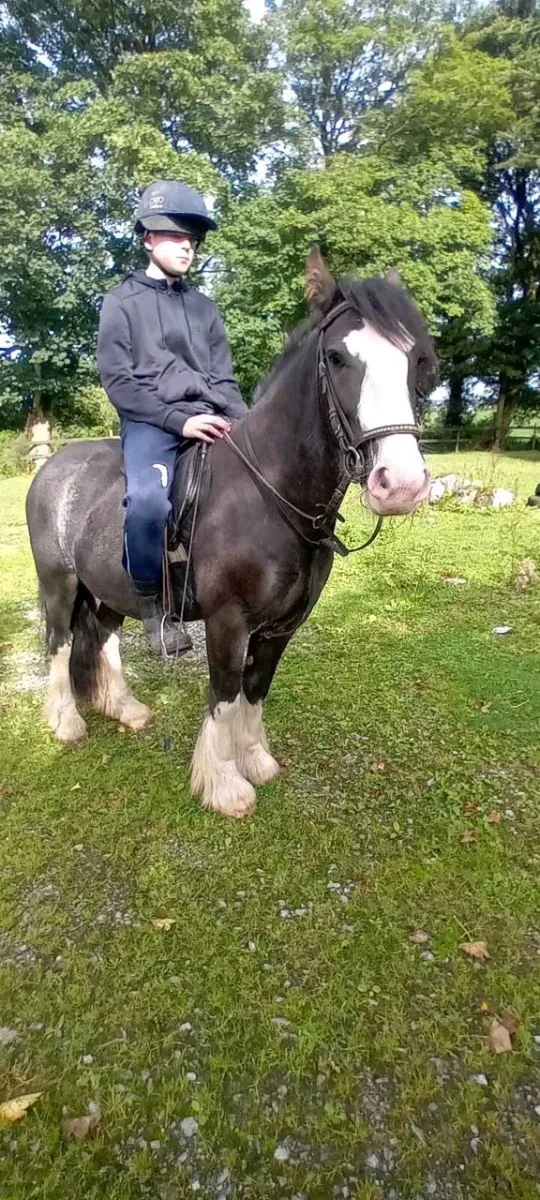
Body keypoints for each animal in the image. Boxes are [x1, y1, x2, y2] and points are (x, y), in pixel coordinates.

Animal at [26, 248, 438, 819]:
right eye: (336, 358)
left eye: (416, 359)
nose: (400, 484)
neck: (269, 496)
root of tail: (54, 466)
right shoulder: (227, 621)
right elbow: (223, 692)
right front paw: (223, 784)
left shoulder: (281, 627)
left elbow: (254, 688)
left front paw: (256, 760)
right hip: (59, 584)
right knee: (60, 643)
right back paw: (67, 722)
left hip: (107, 587)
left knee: (102, 636)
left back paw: (126, 709)